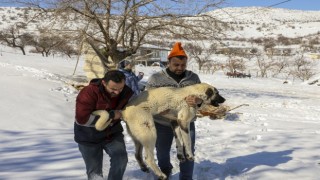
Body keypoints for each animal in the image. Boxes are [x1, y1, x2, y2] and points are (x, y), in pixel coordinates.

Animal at [95, 82, 225, 179]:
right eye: (217, 93)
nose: (224, 99)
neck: (194, 94)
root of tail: (124, 111)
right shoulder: (183, 122)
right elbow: (187, 142)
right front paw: (189, 156)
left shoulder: (175, 123)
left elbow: (179, 142)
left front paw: (181, 156)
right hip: (150, 133)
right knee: (149, 158)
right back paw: (161, 174)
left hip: (139, 138)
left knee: (137, 155)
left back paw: (144, 168)